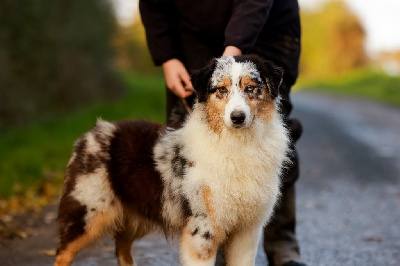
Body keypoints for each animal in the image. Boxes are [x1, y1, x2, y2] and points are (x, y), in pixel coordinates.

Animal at [54, 54, 290, 266]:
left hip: (140, 212)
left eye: (251, 88)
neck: (236, 144)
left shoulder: (247, 231)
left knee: (121, 245)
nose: (237, 117)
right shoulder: (202, 228)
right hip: (88, 213)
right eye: (221, 90)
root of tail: (91, 132)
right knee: (63, 253)